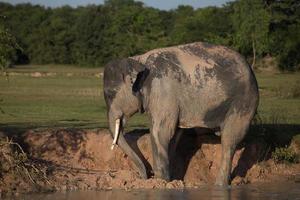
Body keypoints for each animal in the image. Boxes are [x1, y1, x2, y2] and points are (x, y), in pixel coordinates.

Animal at [102, 41, 258, 186]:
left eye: (110, 94)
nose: (145, 175)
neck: (138, 60)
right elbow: (174, 134)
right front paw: (170, 180)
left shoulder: (161, 91)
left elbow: (161, 132)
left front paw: (161, 180)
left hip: (243, 101)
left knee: (229, 140)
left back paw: (220, 185)